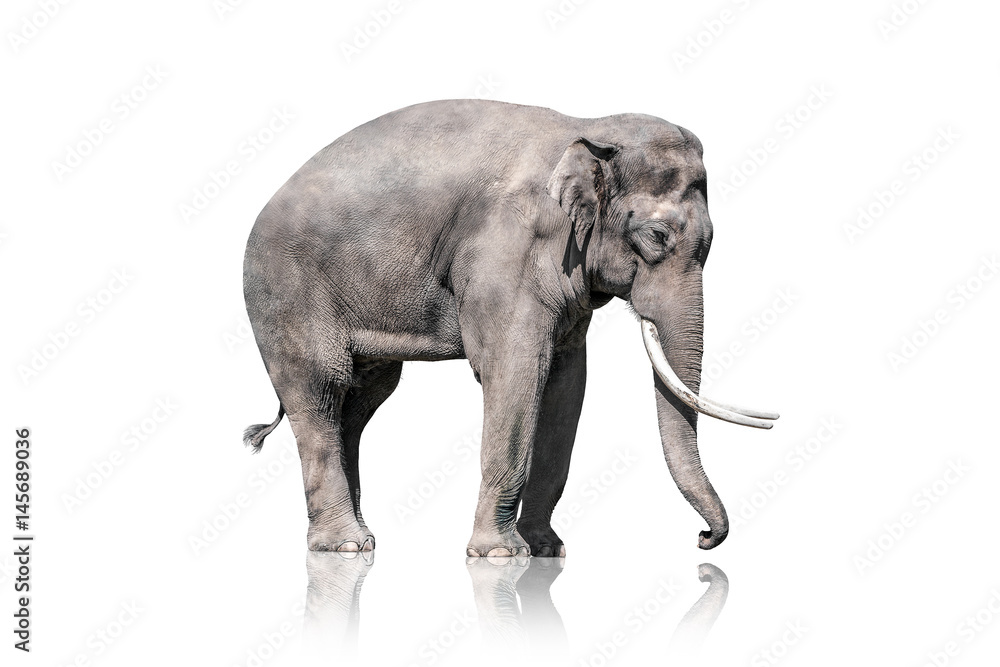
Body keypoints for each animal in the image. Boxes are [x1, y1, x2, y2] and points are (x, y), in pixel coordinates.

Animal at [242, 99, 778, 557]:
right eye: (656, 236)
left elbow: (566, 384)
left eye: (711, 242)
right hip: (285, 295)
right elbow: (517, 372)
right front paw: (498, 555)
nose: (703, 538)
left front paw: (546, 549)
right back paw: (344, 546)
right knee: (320, 393)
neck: (589, 128)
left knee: (361, 402)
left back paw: (365, 538)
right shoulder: (505, 254)